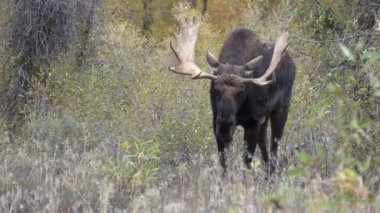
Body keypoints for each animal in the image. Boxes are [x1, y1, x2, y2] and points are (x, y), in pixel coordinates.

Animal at [169, 17, 296, 171]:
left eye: (242, 90)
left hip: (281, 108)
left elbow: (246, 162)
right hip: (264, 119)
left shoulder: (253, 122)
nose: (225, 125)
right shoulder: (216, 123)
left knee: (274, 148)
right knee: (265, 149)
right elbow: (224, 163)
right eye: (215, 88)